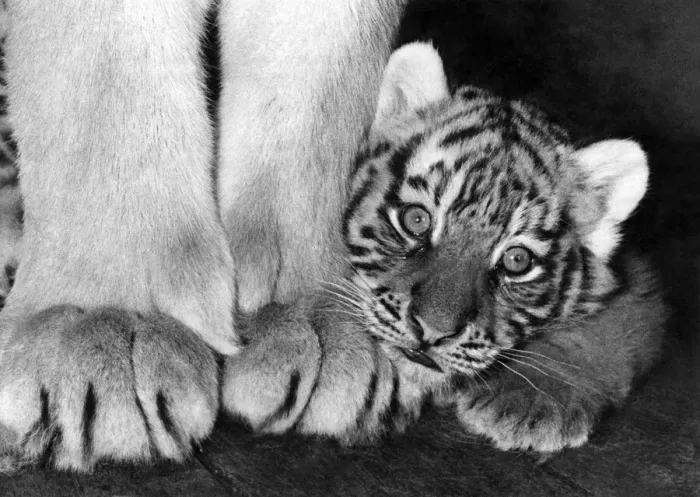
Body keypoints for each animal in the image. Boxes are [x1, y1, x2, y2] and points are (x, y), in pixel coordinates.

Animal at [220, 42, 667, 453]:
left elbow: (601, 329)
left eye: (516, 260)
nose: (432, 332)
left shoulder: (638, 281)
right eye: (417, 220)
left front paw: (533, 401)